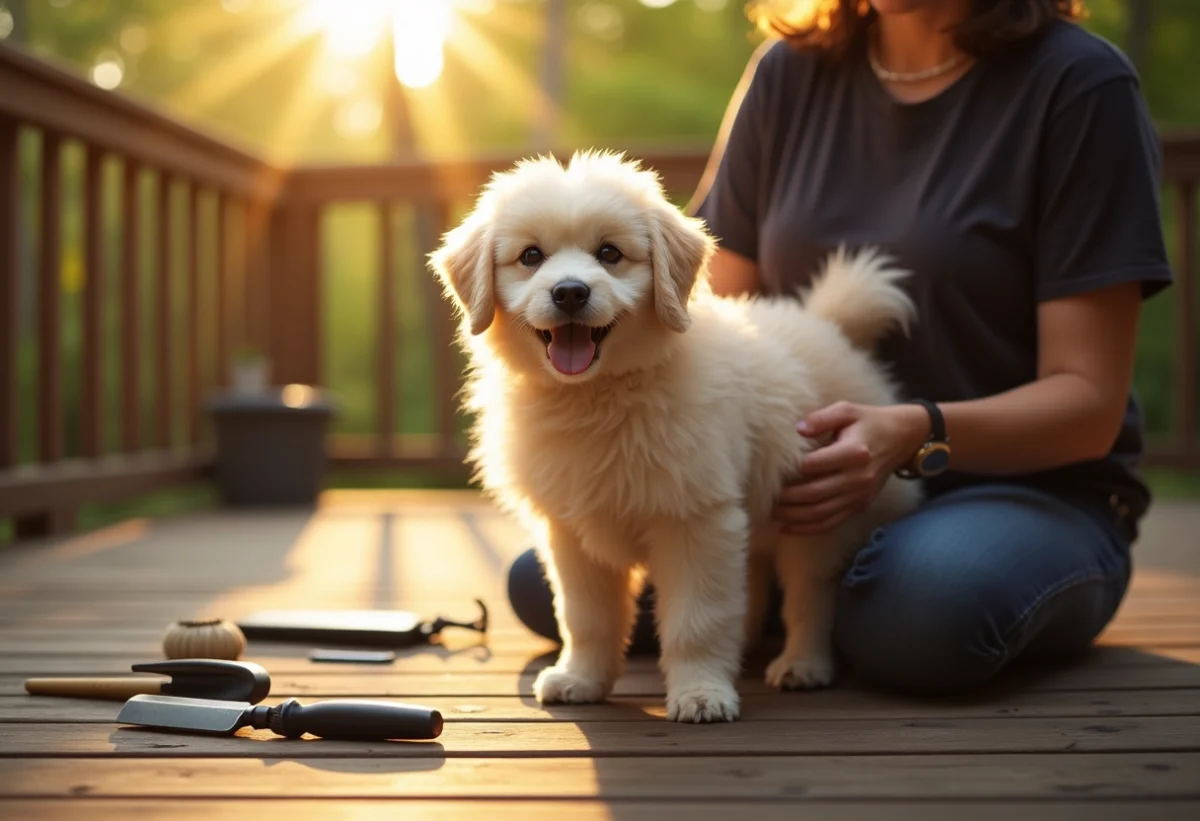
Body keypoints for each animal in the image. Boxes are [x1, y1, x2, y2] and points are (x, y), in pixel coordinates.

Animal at [429, 150, 916, 720]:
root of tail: (831, 330)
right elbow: (585, 618)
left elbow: (696, 619)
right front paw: (581, 680)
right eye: (531, 256)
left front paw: (701, 694)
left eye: (610, 253)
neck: (597, 399)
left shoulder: (695, 519)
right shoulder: (573, 532)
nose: (569, 292)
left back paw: (802, 666)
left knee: (808, 595)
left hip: (817, 511)